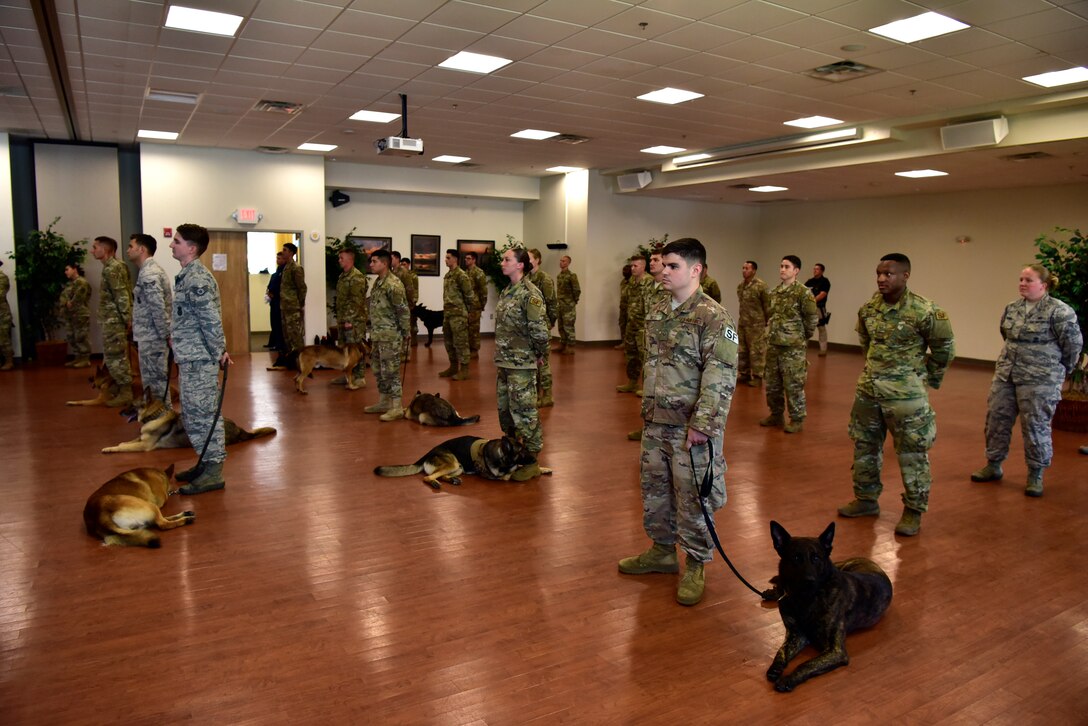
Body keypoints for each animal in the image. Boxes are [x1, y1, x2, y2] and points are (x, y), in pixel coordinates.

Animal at [101, 398, 276, 454]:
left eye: (132, 405)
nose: (119, 413)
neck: (155, 416)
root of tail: (239, 429)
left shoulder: (144, 446)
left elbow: (124, 447)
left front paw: (111, 449)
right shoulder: (141, 439)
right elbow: (126, 442)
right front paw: (112, 446)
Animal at [376, 435, 552, 491]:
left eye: (526, 449)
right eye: (521, 452)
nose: (535, 459)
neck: (501, 454)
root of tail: (428, 453)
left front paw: (543, 468)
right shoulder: (501, 476)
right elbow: (512, 472)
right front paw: (535, 469)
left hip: (458, 467)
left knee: (440, 475)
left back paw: (451, 480)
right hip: (453, 463)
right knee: (427, 477)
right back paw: (435, 483)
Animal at [765, 522, 892, 692]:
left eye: (816, 558)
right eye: (796, 558)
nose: (809, 581)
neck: (805, 599)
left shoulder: (835, 651)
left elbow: (807, 663)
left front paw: (788, 679)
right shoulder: (795, 635)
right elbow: (781, 651)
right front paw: (776, 667)